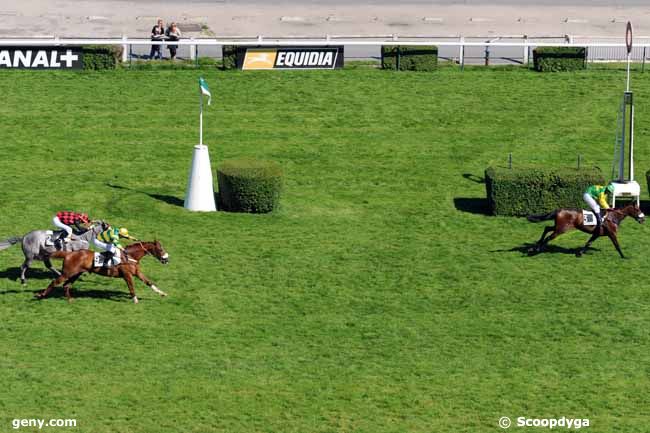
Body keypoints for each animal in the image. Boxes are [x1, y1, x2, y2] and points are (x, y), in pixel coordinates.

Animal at [37, 240, 170, 304]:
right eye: (160, 249)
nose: (166, 259)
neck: (130, 256)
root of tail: (69, 253)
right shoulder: (127, 275)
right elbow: (131, 287)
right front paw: (135, 300)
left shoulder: (137, 273)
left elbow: (149, 282)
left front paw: (162, 293)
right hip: (67, 273)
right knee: (55, 282)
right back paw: (40, 295)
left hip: (75, 274)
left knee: (66, 285)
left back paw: (70, 300)